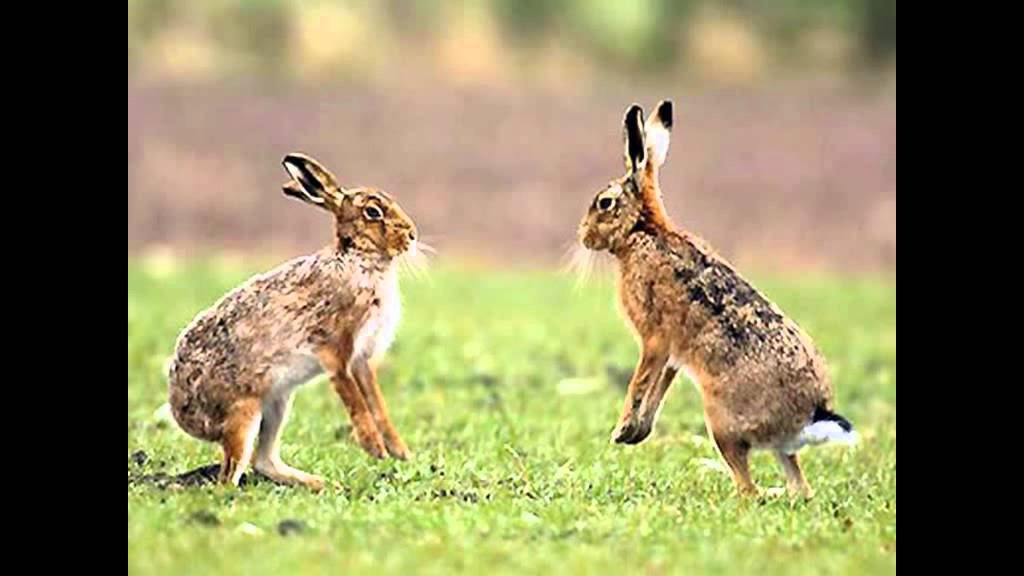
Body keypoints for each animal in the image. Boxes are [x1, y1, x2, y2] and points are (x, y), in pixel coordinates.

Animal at [167, 152, 419, 490]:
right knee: (230, 474)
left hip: (278, 402)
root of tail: (181, 412)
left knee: (264, 461)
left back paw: (323, 484)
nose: (412, 235)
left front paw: (398, 450)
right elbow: (353, 397)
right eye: (373, 212)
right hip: (243, 412)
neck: (359, 260)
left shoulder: (363, 359)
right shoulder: (335, 350)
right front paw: (374, 447)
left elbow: (376, 401)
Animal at [576, 101, 856, 497]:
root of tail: (810, 416)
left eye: (604, 203)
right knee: (799, 487)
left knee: (748, 489)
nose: (583, 236)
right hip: (772, 446)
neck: (643, 231)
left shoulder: (654, 339)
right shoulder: (673, 354)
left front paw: (622, 430)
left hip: (722, 423)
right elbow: (660, 386)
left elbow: (640, 383)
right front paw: (636, 433)